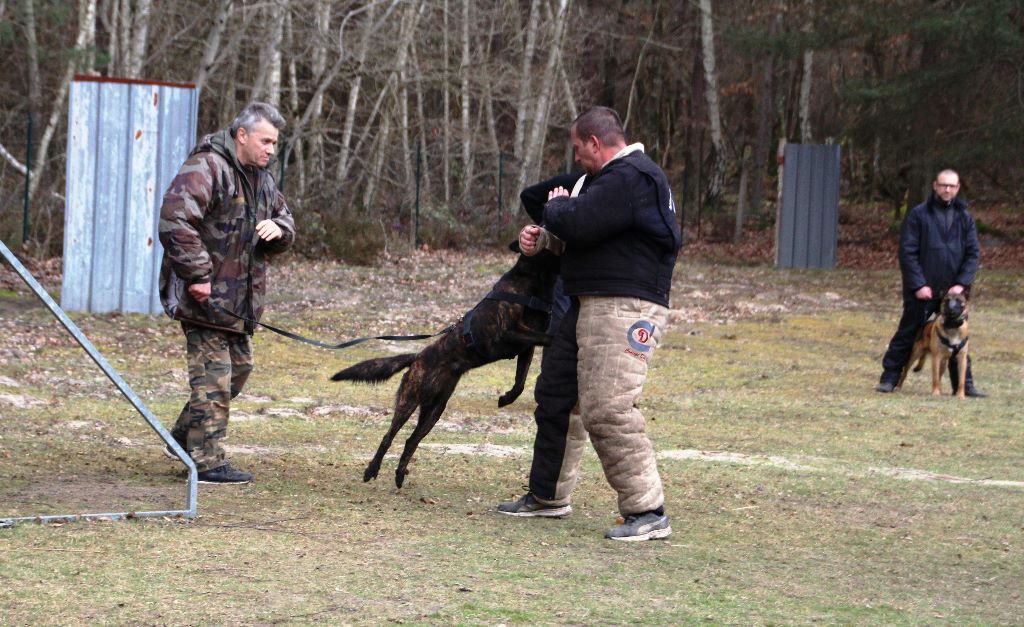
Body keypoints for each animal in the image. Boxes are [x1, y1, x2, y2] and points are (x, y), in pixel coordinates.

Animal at [329, 246, 557, 487]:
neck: (531, 279)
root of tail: (417, 357)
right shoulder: (508, 332)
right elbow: (548, 338)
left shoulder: (525, 347)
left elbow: (521, 381)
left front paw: (506, 398)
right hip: (409, 401)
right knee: (388, 437)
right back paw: (372, 469)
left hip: (434, 410)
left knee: (411, 441)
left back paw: (400, 474)